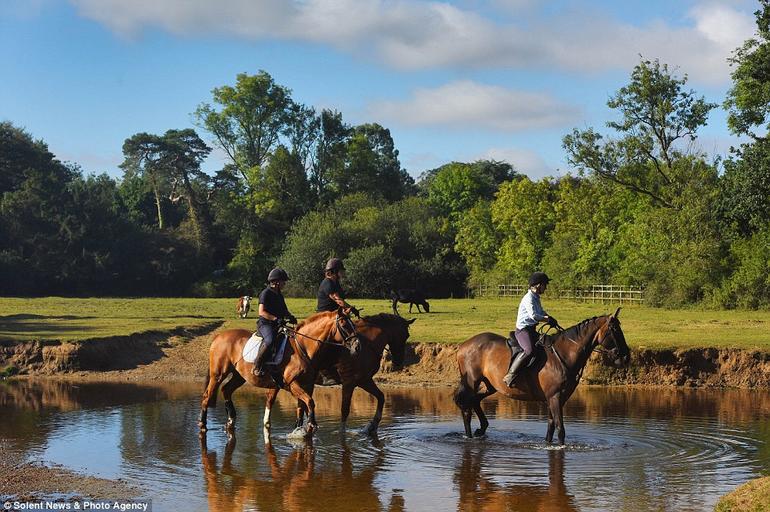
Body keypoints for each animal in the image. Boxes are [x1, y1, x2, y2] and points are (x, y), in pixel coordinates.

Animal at [196, 308, 356, 436]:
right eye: (344, 324)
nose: (357, 345)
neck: (302, 348)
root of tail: (219, 336)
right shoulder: (293, 384)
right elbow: (310, 402)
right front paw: (311, 425)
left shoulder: (307, 385)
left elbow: (302, 407)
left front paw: (300, 429)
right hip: (218, 374)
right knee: (207, 395)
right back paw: (203, 425)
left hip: (239, 376)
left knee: (226, 390)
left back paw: (231, 420)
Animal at [262, 312, 414, 436]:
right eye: (405, 335)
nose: (399, 361)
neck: (367, 344)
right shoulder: (350, 382)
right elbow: (344, 410)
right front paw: (342, 433)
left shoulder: (364, 380)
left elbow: (381, 397)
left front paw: (372, 426)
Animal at [452, 308, 628, 444]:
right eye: (615, 330)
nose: (625, 356)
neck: (564, 354)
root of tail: (463, 345)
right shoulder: (555, 396)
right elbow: (560, 428)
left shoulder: (557, 397)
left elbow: (551, 426)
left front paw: (548, 444)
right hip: (472, 382)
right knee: (466, 407)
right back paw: (469, 436)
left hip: (490, 385)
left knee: (475, 400)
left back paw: (481, 429)